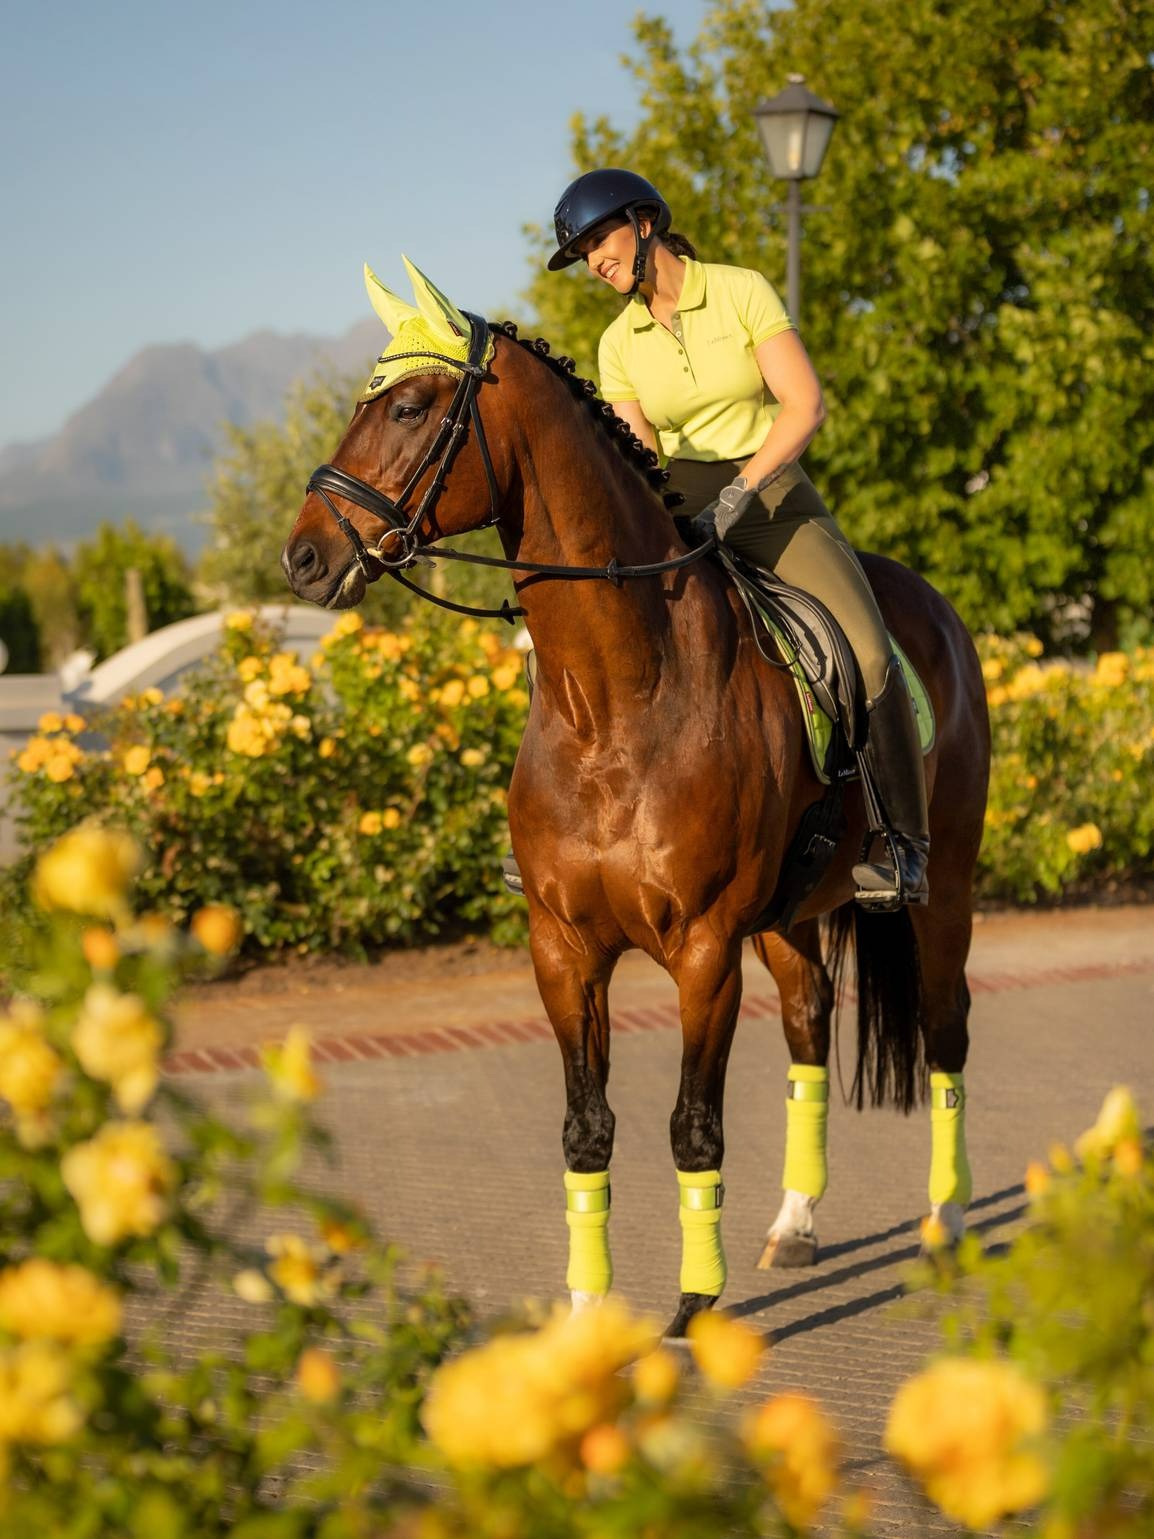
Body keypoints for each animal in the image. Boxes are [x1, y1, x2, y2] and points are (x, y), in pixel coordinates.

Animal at [283, 261, 997, 1335]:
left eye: (408, 408)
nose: (304, 558)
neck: (616, 700)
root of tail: (938, 609)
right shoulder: (563, 948)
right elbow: (588, 1130)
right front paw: (585, 1316)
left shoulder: (703, 948)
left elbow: (693, 1128)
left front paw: (694, 1306)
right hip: (790, 916)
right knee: (809, 1024)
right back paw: (795, 1224)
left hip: (942, 886)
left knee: (946, 1027)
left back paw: (946, 1224)